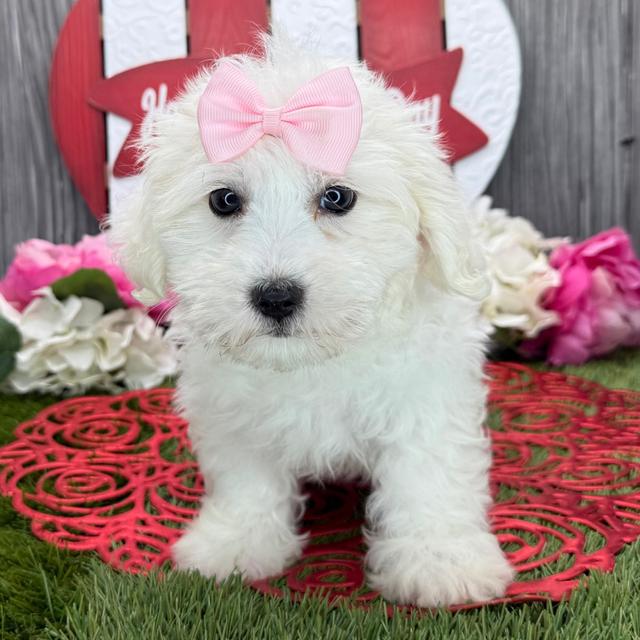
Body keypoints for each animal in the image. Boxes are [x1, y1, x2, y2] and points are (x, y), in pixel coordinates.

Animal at [107, 33, 512, 604]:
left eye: (337, 197)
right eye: (224, 200)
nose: (276, 296)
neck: (312, 360)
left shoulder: (425, 398)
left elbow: (428, 475)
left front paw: (441, 562)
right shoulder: (233, 412)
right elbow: (246, 480)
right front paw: (235, 544)